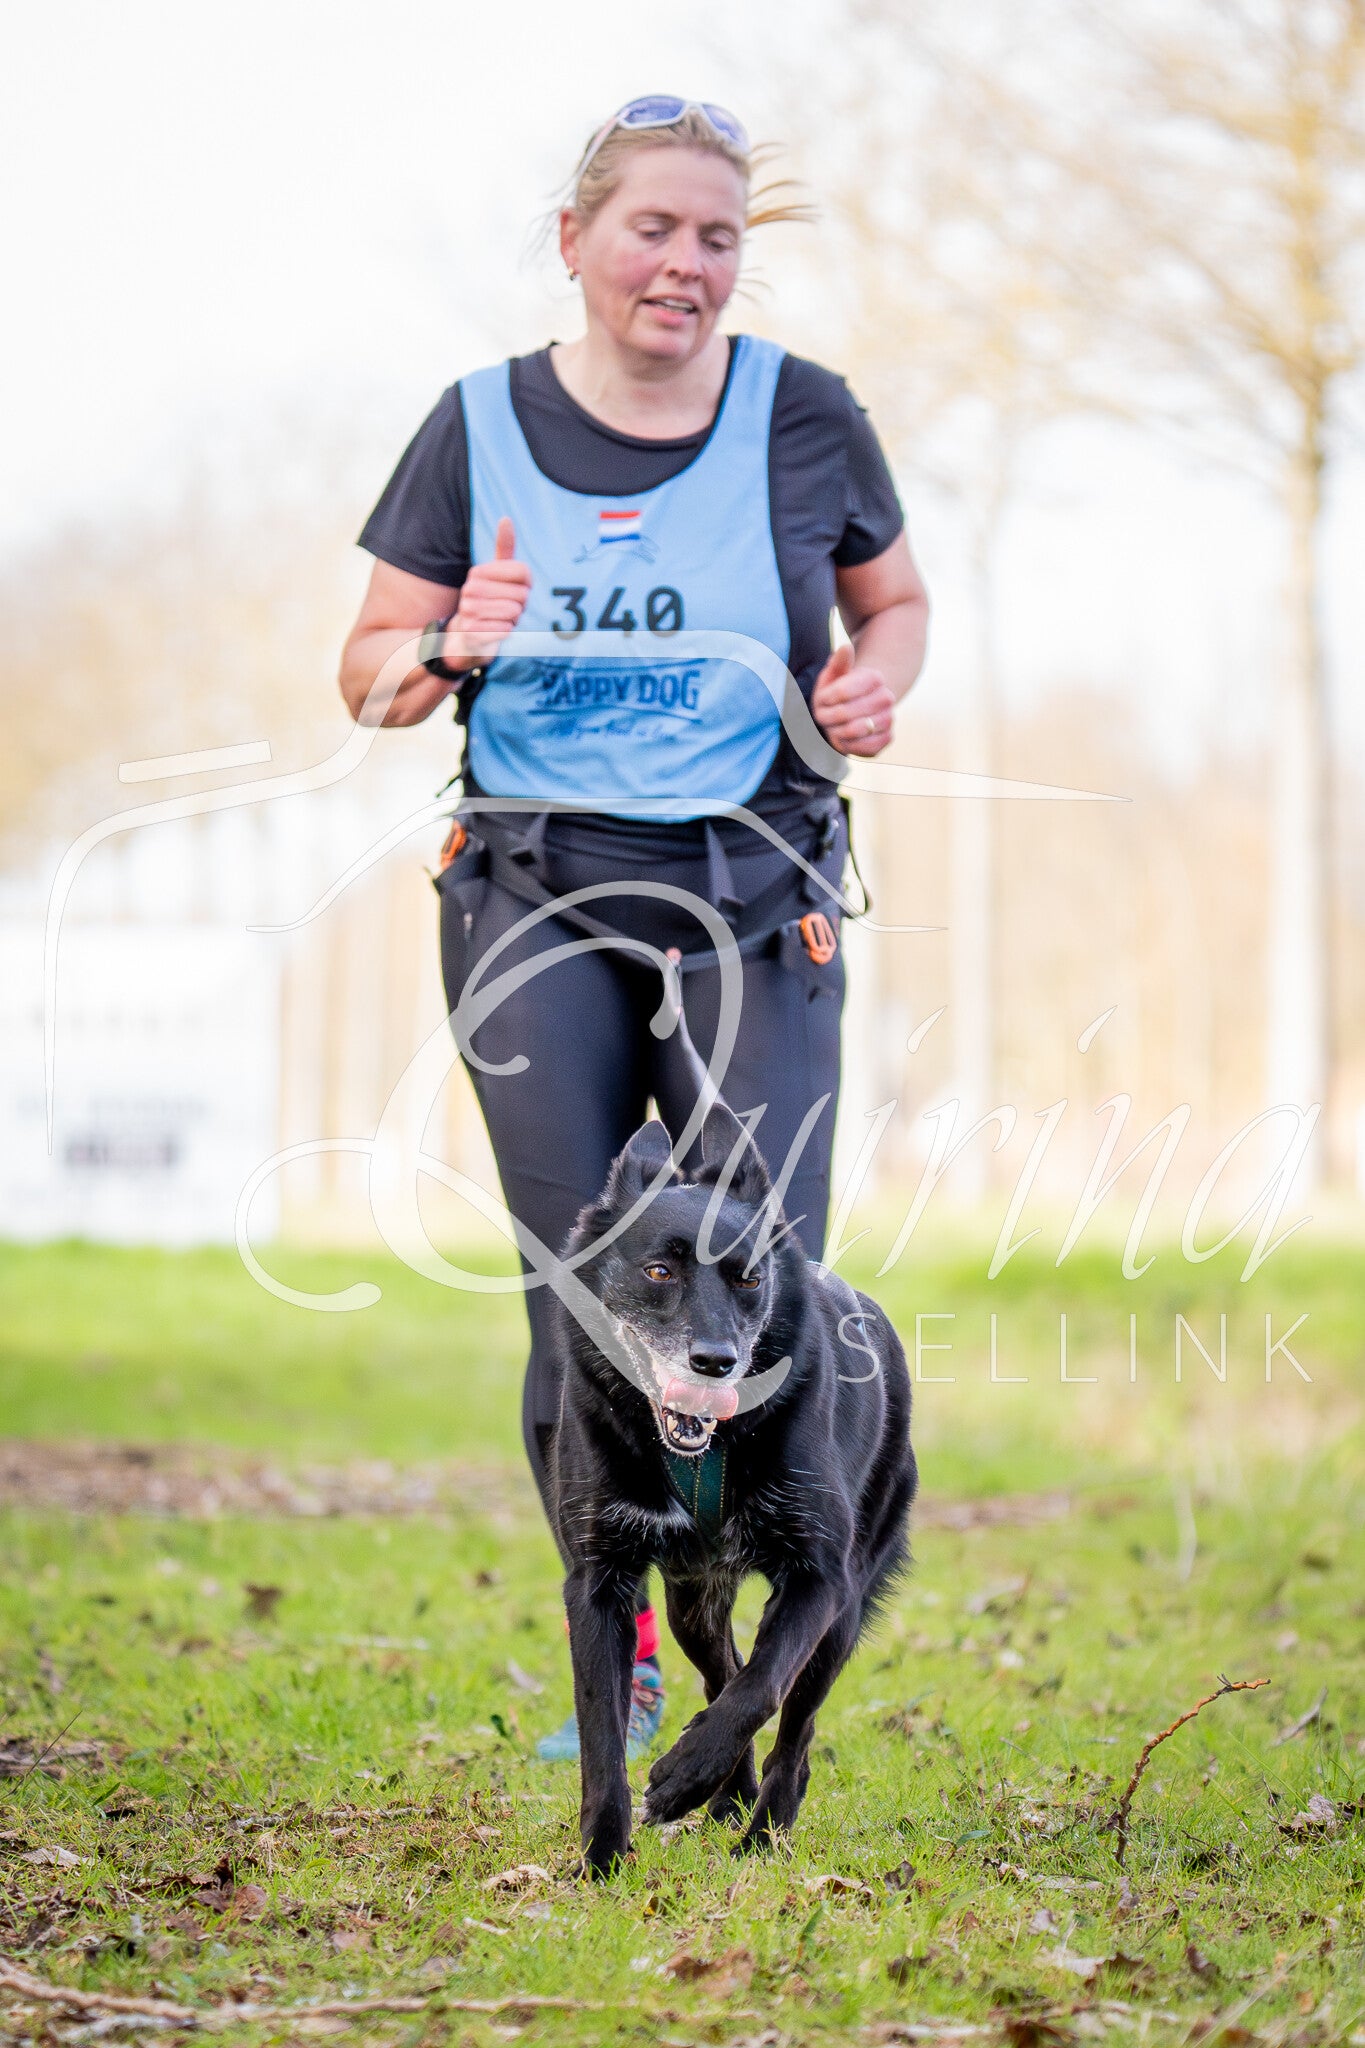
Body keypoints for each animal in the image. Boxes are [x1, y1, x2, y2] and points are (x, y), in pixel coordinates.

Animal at [545, 1101, 916, 1876]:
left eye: (748, 1279)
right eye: (659, 1269)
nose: (715, 1362)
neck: (701, 1452)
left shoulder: (817, 1578)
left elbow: (763, 1688)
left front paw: (685, 1777)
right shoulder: (596, 1582)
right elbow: (602, 1729)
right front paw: (602, 1858)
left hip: (843, 1611)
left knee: (792, 1727)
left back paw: (761, 1828)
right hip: (691, 1603)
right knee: (722, 1666)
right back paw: (729, 1793)